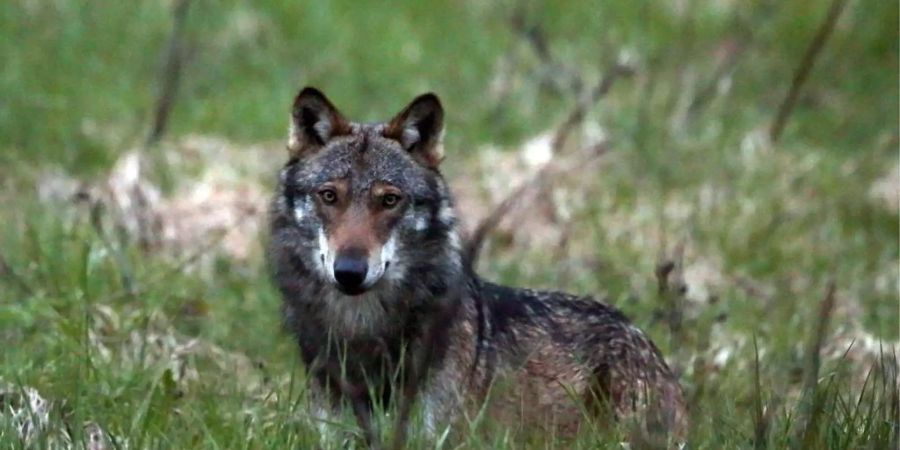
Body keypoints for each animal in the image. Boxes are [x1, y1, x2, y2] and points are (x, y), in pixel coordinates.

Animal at [270, 87, 684, 446]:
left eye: (389, 200)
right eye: (329, 196)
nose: (350, 271)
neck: (362, 331)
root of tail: (643, 338)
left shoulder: (435, 437)